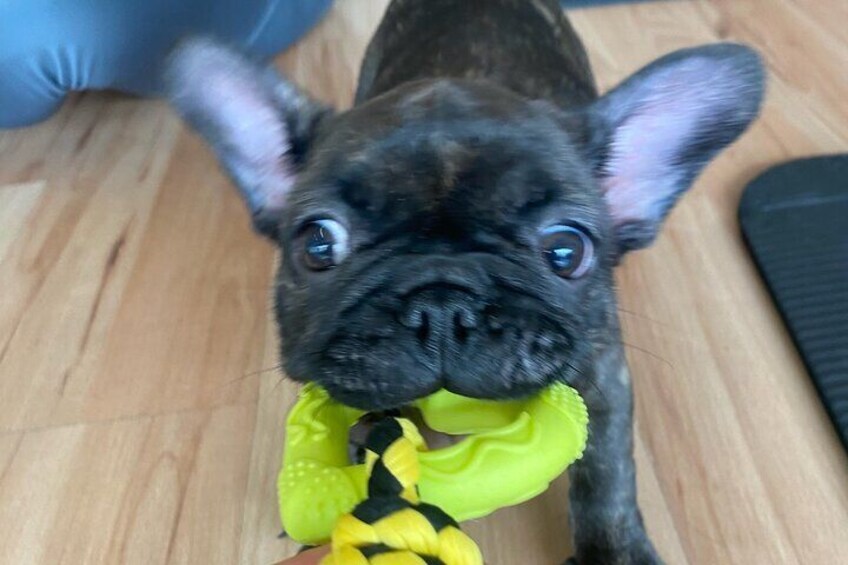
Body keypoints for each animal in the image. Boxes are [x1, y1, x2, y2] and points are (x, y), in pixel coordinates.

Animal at [164, 2, 760, 560]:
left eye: (566, 250)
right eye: (318, 243)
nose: (442, 301)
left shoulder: (603, 371)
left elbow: (606, 469)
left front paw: (615, 552)